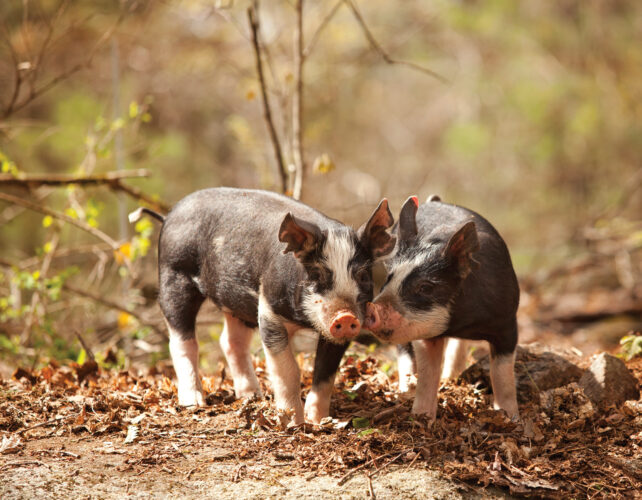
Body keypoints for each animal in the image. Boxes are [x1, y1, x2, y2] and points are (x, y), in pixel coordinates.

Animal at [131, 188, 395, 424]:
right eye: (317, 274)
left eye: (362, 275)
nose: (345, 317)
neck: (304, 321)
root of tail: (168, 216)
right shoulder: (269, 310)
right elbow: (288, 370)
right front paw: (293, 424)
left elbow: (325, 373)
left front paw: (319, 421)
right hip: (174, 275)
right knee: (181, 340)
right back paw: (194, 402)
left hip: (236, 302)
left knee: (230, 342)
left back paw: (252, 396)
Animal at [364, 195, 519, 419]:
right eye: (389, 277)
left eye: (426, 287)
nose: (371, 308)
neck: (462, 322)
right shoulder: (425, 334)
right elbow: (428, 374)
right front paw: (421, 417)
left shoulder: (507, 322)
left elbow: (502, 375)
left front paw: (511, 418)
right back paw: (407, 390)